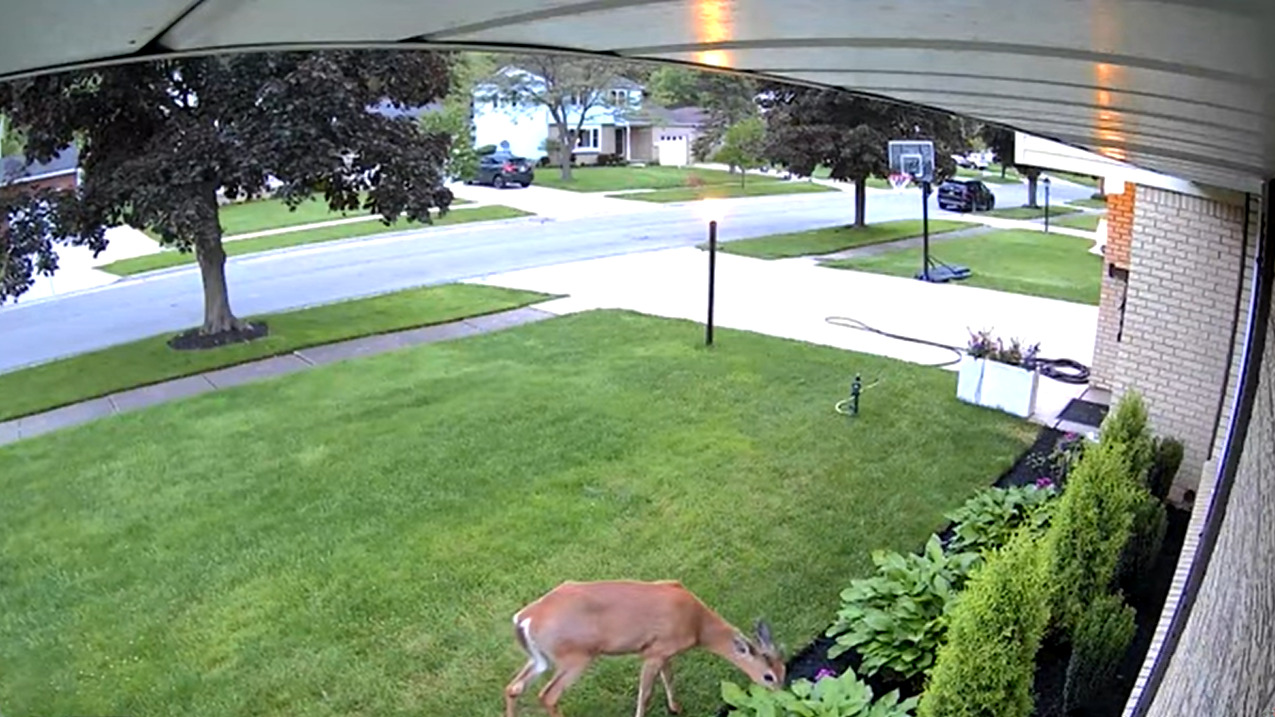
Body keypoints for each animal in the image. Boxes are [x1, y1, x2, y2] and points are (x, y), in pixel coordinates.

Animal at [502, 574, 780, 714]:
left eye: (784, 669)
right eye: (769, 676)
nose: (780, 694)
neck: (698, 625)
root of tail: (525, 618)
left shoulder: (665, 651)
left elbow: (669, 679)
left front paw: (676, 708)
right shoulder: (654, 652)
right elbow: (645, 694)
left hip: (541, 659)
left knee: (513, 687)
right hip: (575, 656)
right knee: (548, 695)